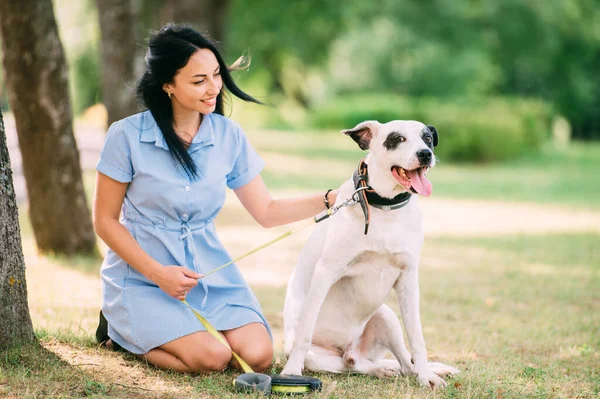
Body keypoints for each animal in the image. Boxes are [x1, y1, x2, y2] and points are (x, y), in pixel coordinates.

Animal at [282, 120, 460, 390]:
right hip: (320, 357)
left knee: (403, 365)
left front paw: (427, 377)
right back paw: (376, 369)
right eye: (396, 139)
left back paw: (401, 370)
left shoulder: (408, 280)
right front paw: (291, 371)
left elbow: (417, 338)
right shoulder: (325, 273)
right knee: (350, 365)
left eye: (427, 138)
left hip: (387, 317)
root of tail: (351, 348)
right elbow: (304, 332)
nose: (425, 154)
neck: (385, 206)